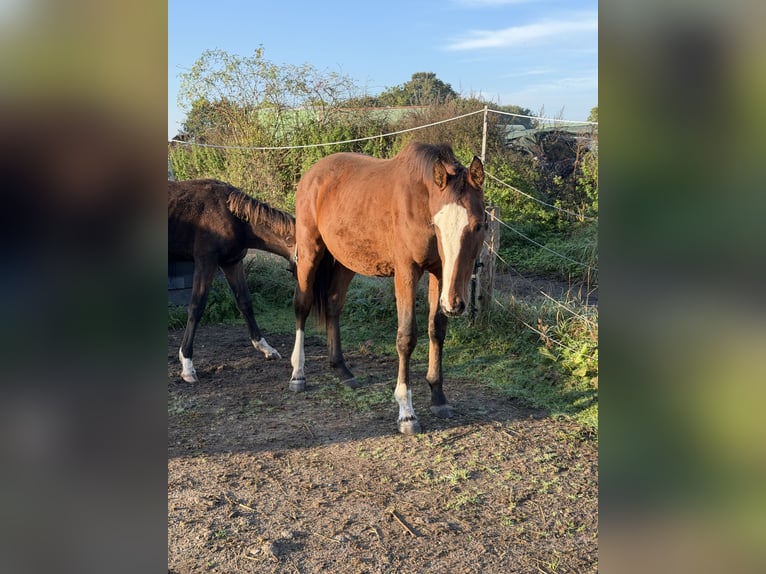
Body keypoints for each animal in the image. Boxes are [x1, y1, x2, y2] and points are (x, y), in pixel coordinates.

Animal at [168, 179, 296, 383]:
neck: (231, 216)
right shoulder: (206, 262)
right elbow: (196, 307)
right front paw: (187, 365)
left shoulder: (232, 263)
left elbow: (245, 302)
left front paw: (266, 348)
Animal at [288, 141, 485, 434]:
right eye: (437, 225)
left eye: (479, 225)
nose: (455, 304)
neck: (421, 200)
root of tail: (312, 174)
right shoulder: (406, 272)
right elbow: (406, 337)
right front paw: (406, 413)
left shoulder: (440, 272)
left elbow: (436, 330)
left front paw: (438, 396)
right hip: (310, 251)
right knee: (302, 304)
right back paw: (298, 374)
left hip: (347, 261)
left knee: (334, 304)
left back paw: (343, 371)